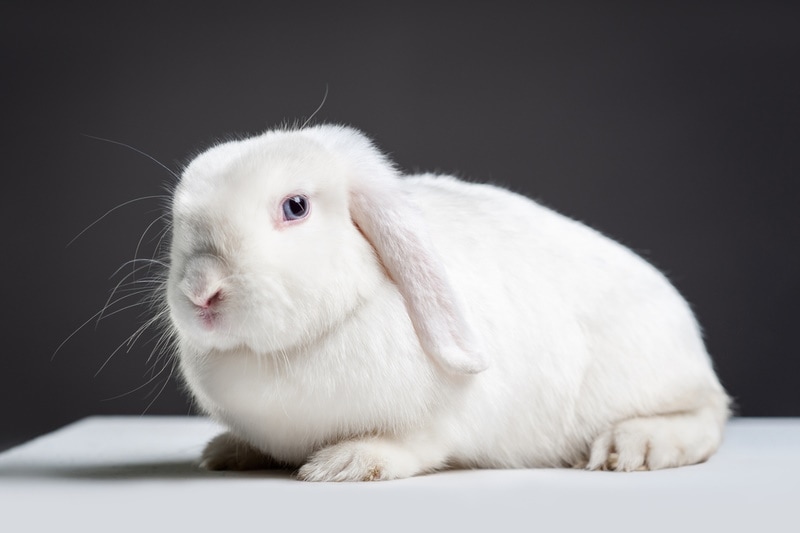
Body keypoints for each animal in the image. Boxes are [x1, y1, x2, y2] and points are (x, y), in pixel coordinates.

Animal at [167, 123, 732, 478]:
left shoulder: (439, 423)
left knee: (706, 418)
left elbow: (413, 445)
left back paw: (633, 447)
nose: (200, 290)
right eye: (179, 220)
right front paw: (227, 451)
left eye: (296, 206)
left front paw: (345, 463)